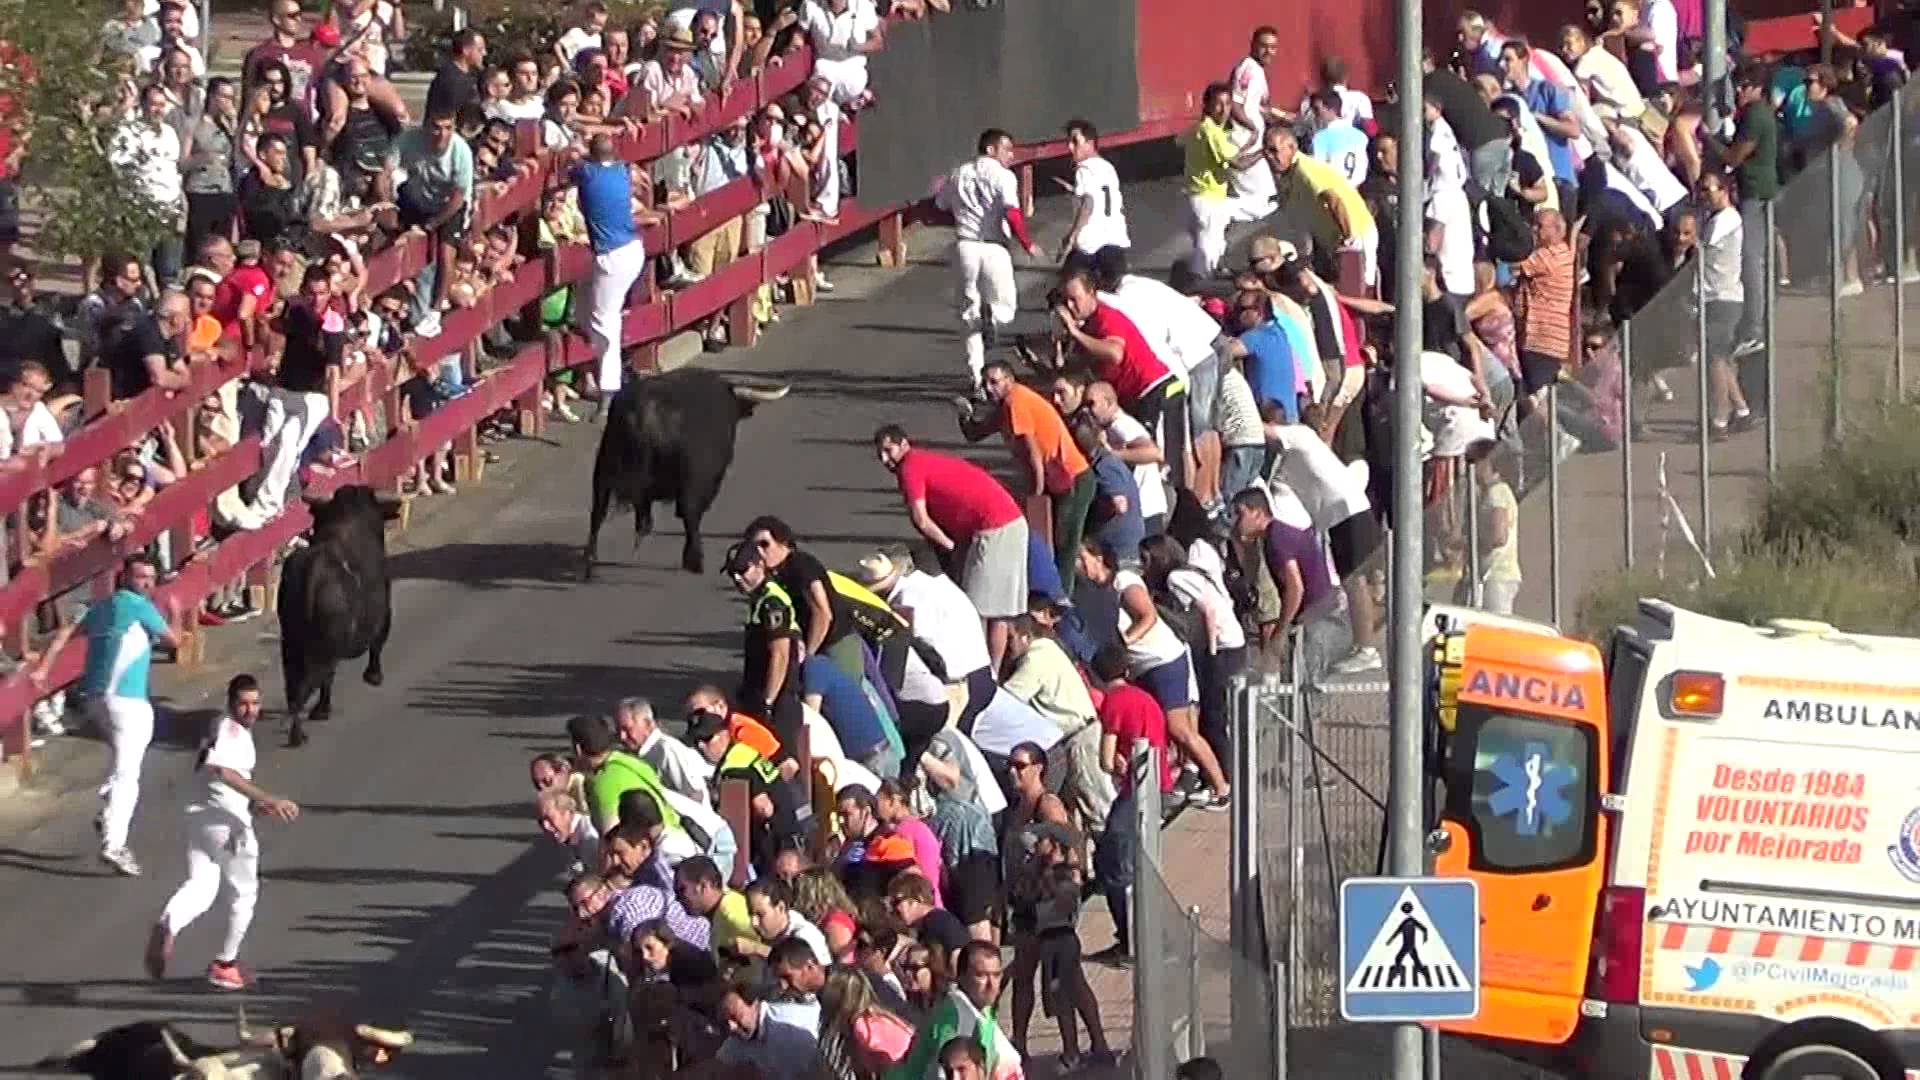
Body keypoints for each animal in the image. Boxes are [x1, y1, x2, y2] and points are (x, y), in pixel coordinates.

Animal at [587, 367, 791, 576]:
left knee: (598, 512)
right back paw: (695, 560)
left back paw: (592, 559)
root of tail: (647, 411)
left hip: (604, 470)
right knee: (689, 514)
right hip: (690, 479)